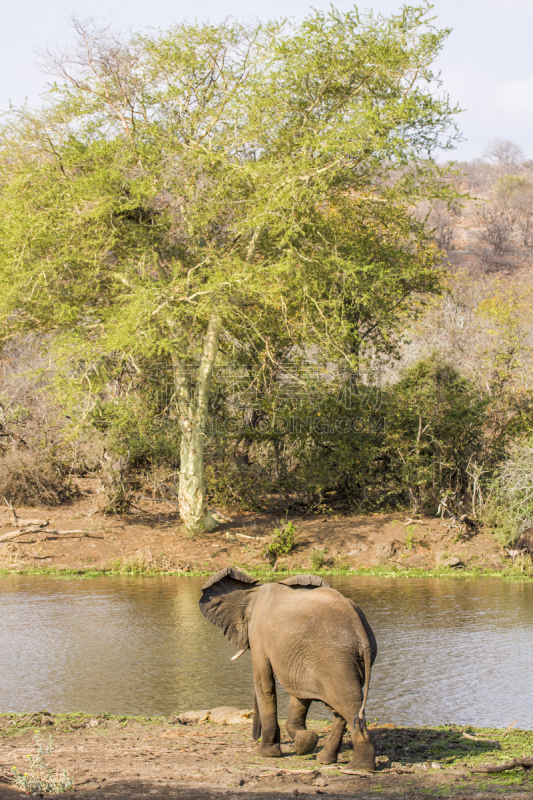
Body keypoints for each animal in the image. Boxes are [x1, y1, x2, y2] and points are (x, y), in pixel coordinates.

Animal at [197, 564, 376, 772]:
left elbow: (264, 684)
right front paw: (305, 742)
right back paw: (326, 759)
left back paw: (359, 767)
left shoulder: (258, 635)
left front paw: (267, 753)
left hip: (335, 659)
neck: (254, 592)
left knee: (348, 704)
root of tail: (360, 632)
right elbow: (299, 693)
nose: (254, 737)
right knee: (341, 706)